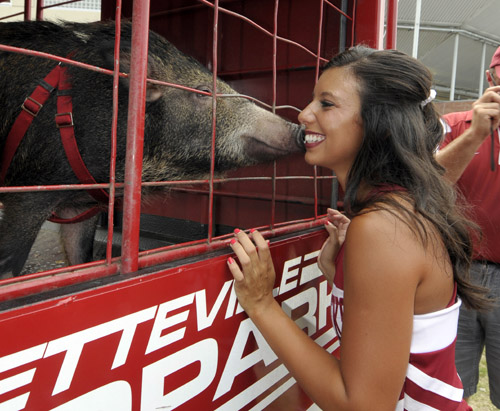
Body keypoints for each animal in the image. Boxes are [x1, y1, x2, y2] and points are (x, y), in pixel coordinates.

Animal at [0, 21, 304, 280]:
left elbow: (80, 259)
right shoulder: (31, 189)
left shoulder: (80, 205)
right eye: (204, 91)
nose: (300, 130)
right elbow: (11, 260)